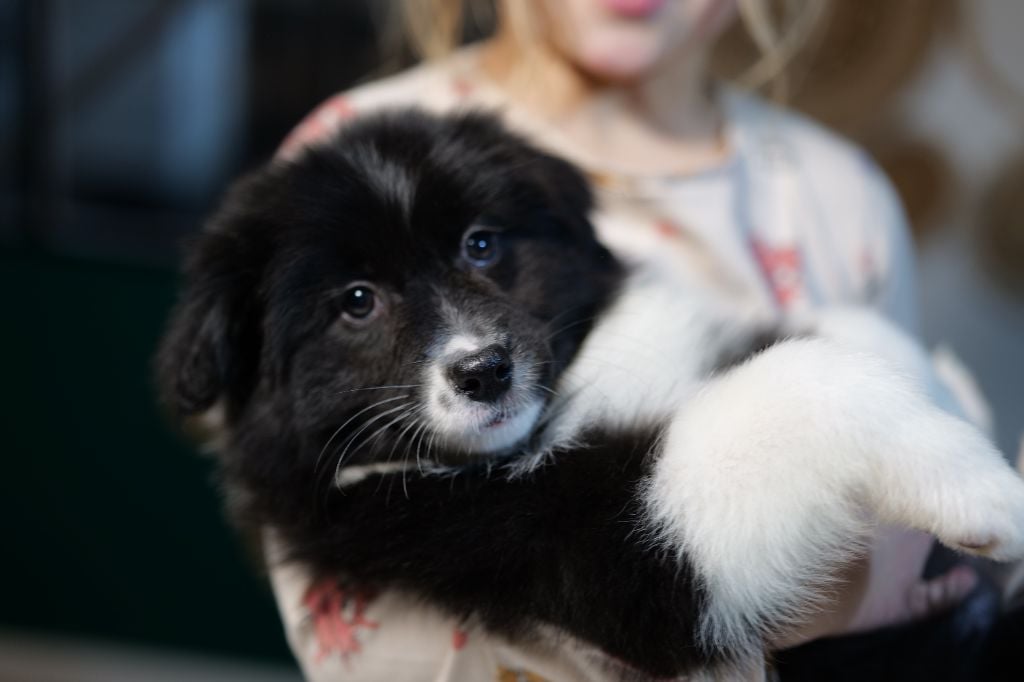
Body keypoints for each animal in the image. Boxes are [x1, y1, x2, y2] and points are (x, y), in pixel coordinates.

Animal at [155, 109, 1024, 675]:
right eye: (357, 302)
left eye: (481, 244)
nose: (485, 369)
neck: (569, 394)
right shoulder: (604, 547)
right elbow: (805, 379)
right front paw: (985, 492)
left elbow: (838, 329)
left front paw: (949, 394)